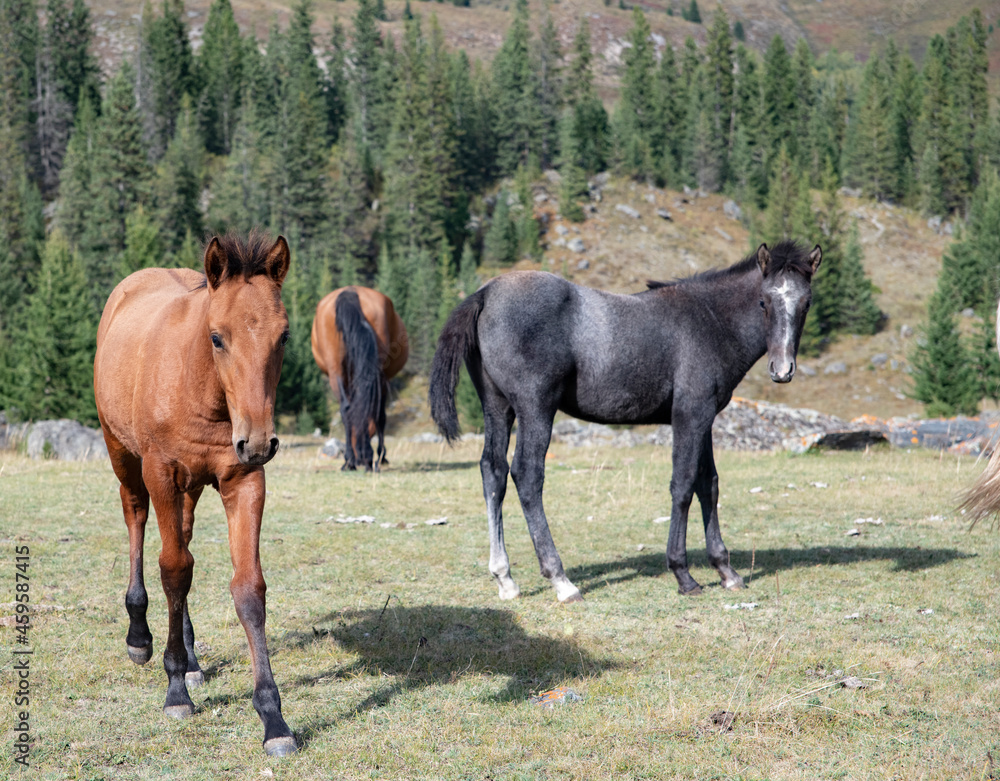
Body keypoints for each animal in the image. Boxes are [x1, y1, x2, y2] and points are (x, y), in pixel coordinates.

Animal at [93, 232, 297, 757]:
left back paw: (190, 659)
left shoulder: (243, 479)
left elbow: (247, 589)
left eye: (284, 336)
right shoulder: (162, 474)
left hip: (190, 489)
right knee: (138, 519)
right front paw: (174, 692)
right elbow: (172, 571)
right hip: (124, 458)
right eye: (217, 336)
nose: (259, 441)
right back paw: (141, 637)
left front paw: (274, 719)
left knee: (182, 545)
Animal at [311, 286, 408, 471]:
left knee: (347, 409)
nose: (360, 460)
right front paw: (380, 456)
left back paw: (350, 460)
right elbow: (380, 416)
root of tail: (350, 292)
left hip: (336, 371)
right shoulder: (383, 380)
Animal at [430, 241, 822, 602]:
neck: (710, 320)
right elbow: (682, 486)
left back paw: (505, 578)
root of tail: (485, 293)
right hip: (535, 407)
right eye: (764, 302)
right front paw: (683, 575)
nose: (782, 370)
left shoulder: (706, 418)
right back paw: (562, 581)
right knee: (526, 475)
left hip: (497, 407)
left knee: (492, 471)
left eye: (805, 304)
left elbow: (708, 484)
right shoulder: (690, 414)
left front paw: (726, 570)